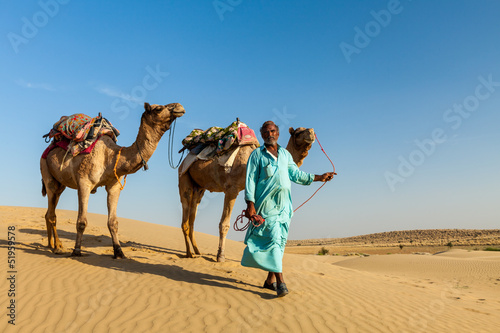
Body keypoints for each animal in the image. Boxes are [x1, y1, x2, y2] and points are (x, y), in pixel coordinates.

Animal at [40, 102, 186, 258]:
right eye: (158, 108)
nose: (179, 107)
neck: (111, 156)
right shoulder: (84, 183)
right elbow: (81, 222)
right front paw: (77, 250)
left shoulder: (114, 186)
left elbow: (113, 222)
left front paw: (119, 251)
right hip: (46, 172)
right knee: (52, 213)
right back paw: (57, 247)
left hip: (60, 184)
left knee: (49, 211)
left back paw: (52, 244)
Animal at [178, 126, 314, 260]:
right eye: (298, 133)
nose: (311, 133)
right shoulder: (231, 189)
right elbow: (224, 224)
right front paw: (220, 255)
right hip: (184, 176)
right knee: (185, 211)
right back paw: (189, 254)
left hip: (199, 187)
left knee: (193, 214)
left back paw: (197, 251)